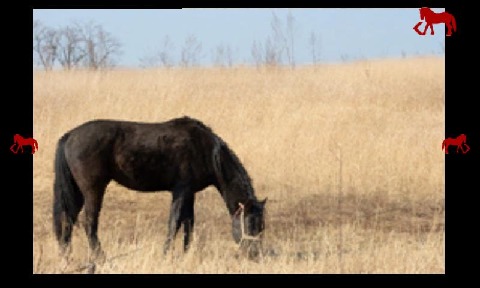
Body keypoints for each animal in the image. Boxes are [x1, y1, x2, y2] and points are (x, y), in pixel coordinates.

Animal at [54, 116, 268, 264]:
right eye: (250, 223)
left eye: (261, 226)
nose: (255, 255)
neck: (206, 149)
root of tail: (71, 135)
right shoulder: (181, 190)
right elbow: (174, 223)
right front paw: (166, 255)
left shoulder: (190, 193)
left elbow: (188, 224)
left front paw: (186, 254)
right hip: (93, 190)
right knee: (89, 224)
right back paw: (101, 258)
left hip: (78, 192)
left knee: (68, 220)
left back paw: (67, 257)